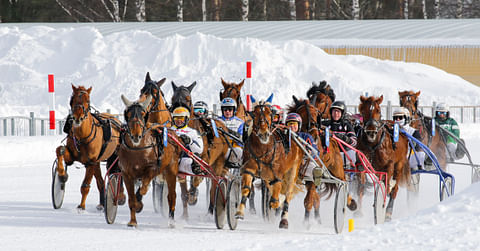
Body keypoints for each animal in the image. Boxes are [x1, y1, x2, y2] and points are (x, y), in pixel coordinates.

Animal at [119, 94, 181, 227]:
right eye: (128, 114)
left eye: (143, 113)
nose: (136, 135)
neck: (137, 148)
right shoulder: (126, 174)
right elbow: (131, 199)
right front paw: (132, 221)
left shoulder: (153, 169)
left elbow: (143, 189)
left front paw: (139, 203)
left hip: (171, 170)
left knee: (171, 196)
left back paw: (171, 221)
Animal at [171, 81, 231, 218]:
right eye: (172, 99)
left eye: (188, 99)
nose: (178, 112)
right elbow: (183, 192)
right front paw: (185, 216)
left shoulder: (204, 160)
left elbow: (197, 178)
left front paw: (193, 195)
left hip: (218, 162)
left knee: (214, 185)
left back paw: (211, 210)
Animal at [236, 99, 304, 228]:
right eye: (255, 115)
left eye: (269, 114)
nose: (264, 133)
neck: (264, 149)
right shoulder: (249, 168)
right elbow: (246, 189)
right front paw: (239, 212)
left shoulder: (277, 175)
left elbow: (275, 200)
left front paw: (277, 205)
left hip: (293, 170)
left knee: (288, 194)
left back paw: (284, 219)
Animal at [286, 97, 358, 225]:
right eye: (302, 114)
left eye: (316, 115)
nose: (315, 135)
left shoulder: (312, 174)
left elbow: (308, 200)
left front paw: (306, 223)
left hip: (337, 170)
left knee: (343, 182)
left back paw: (350, 203)